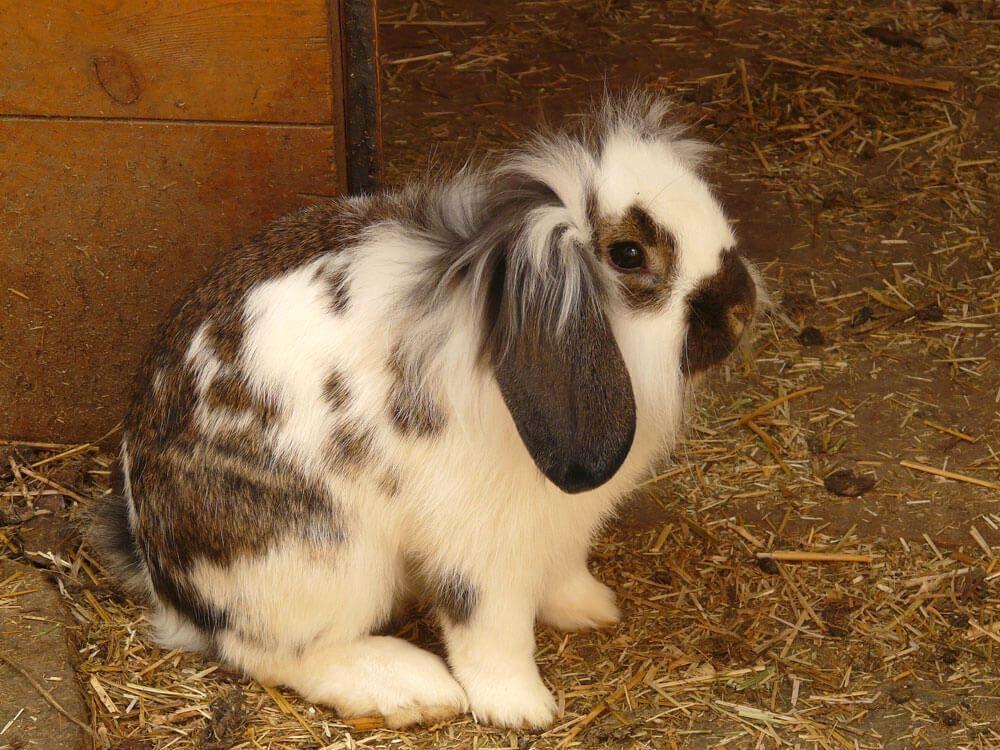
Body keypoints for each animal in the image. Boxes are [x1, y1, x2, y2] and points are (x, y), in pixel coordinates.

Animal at [89, 92, 763, 730]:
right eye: (628, 255)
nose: (741, 307)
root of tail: (162, 572)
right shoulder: (481, 547)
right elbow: (491, 631)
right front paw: (521, 708)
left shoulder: (558, 526)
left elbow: (562, 573)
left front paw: (591, 608)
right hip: (323, 554)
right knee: (275, 651)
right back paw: (411, 688)